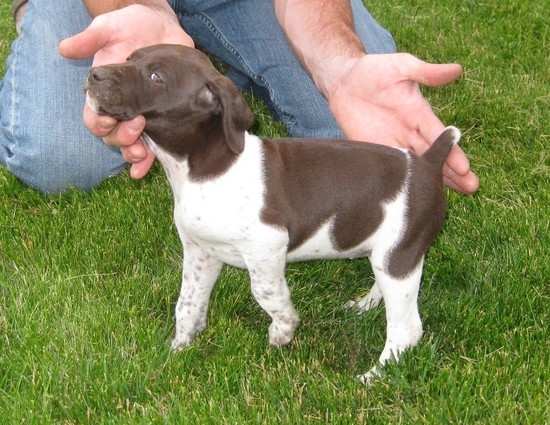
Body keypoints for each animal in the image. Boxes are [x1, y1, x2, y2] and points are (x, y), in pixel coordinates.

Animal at [86, 44, 462, 382]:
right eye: (130, 57)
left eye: (156, 77)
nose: (94, 74)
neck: (203, 167)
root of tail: (427, 162)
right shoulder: (201, 252)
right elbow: (188, 304)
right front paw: (179, 349)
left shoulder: (266, 246)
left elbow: (266, 293)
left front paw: (283, 331)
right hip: (388, 253)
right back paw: (363, 306)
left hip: (400, 252)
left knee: (406, 328)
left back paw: (373, 377)